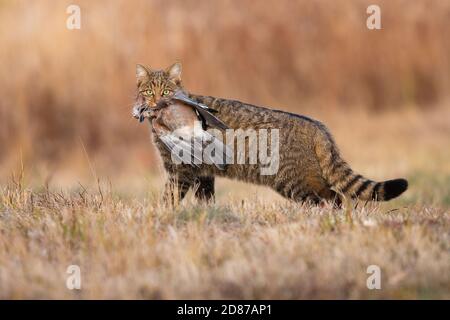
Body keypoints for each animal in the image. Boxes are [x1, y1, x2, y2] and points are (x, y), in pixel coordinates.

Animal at [133, 62, 408, 205]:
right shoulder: (203, 175)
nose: (155, 103)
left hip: (294, 182)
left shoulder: (180, 171)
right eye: (148, 92)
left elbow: (169, 198)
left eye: (166, 92)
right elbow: (205, 201)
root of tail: (318, 126)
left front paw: (163, 216)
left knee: (333, 197)